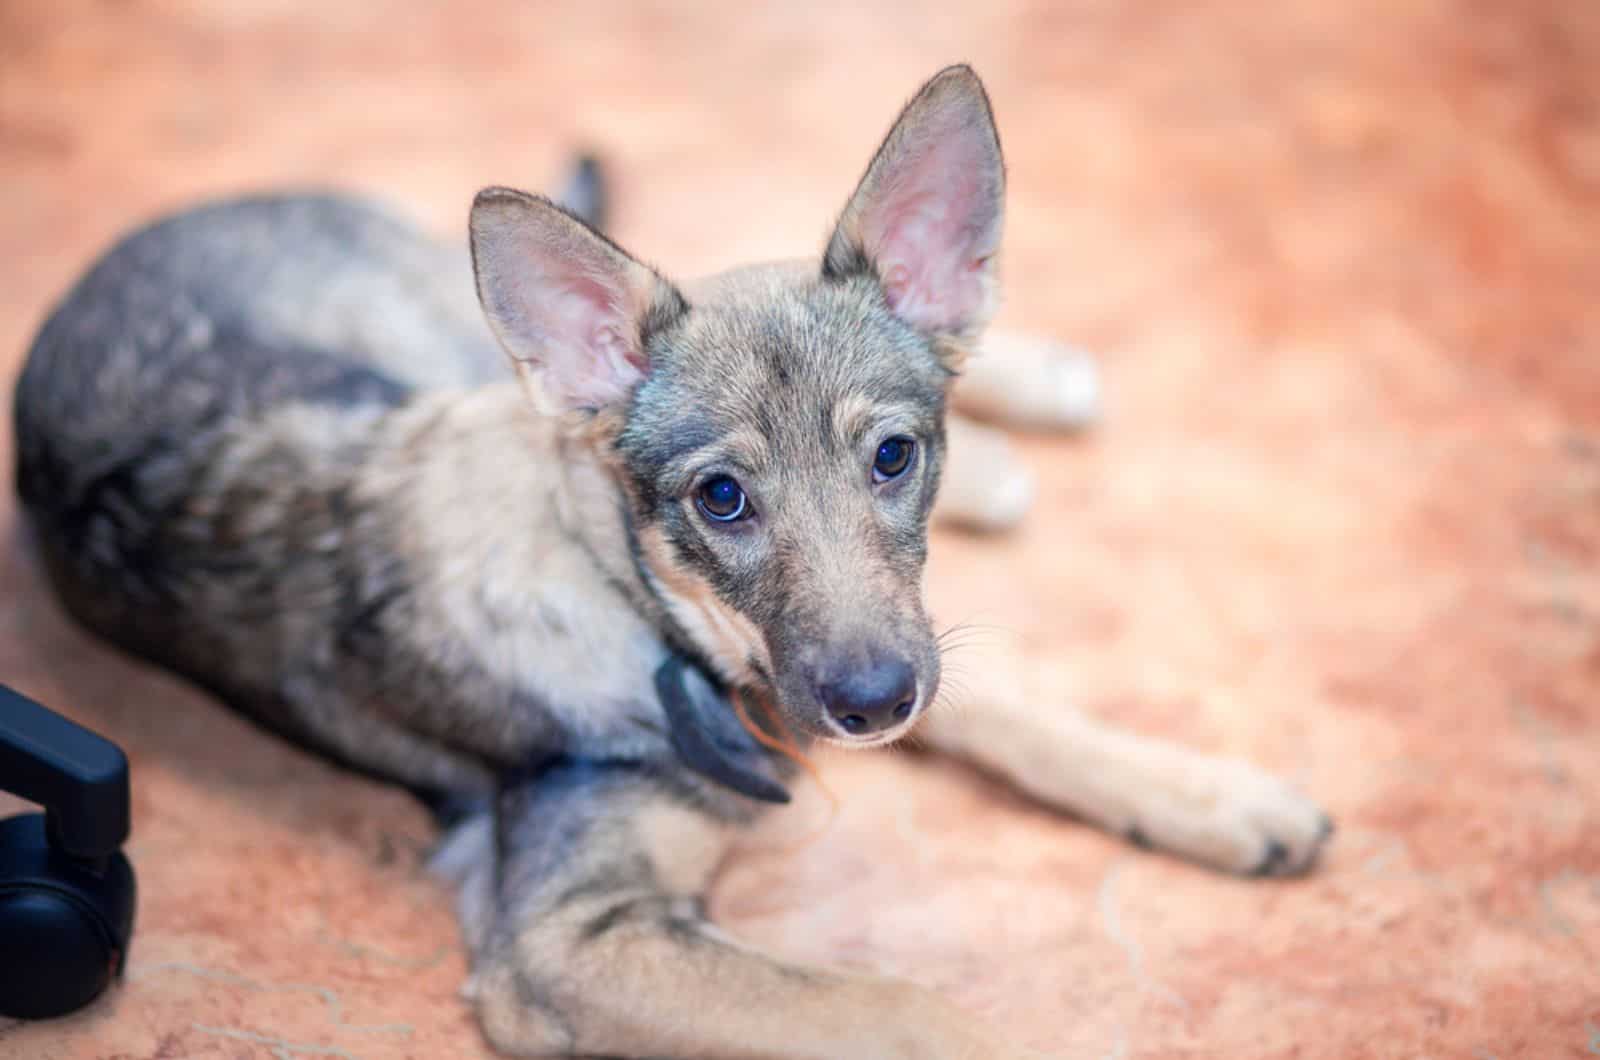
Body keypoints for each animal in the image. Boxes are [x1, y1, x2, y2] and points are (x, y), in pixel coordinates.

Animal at [15, 68, 1337, 1060]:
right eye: (720, 499)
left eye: (894, 456)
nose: (871, 707)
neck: (646, 612)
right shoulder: (570, 942)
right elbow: (897, 1003)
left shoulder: (881, 648)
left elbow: (1015, 707)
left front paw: (1216, 796)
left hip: (453, 339)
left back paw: (1035, 389)